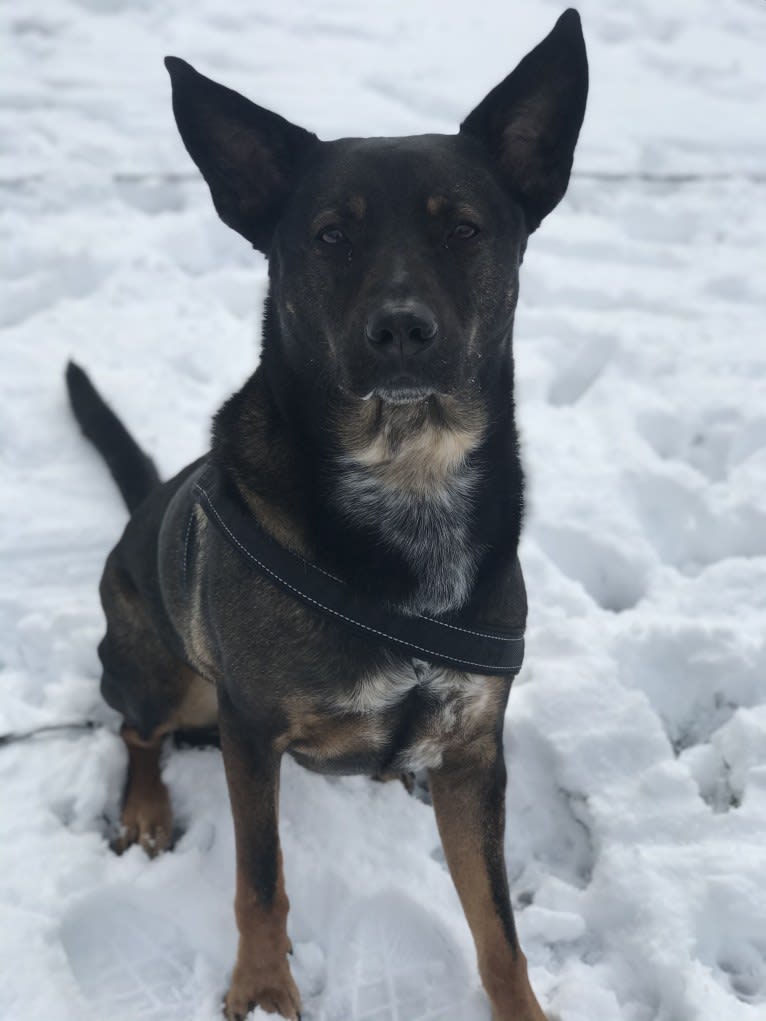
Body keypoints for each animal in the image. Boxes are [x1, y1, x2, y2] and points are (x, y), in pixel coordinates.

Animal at [67, 9, 588, 1021]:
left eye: (465, 229)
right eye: (331, 234)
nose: (402, 329)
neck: (408, 477)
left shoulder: (476, 750)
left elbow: (498, 928)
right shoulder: (250, 727)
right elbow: (260, 878)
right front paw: (265, 987)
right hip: (159, 673)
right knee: (134, 730)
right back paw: (146, 807)